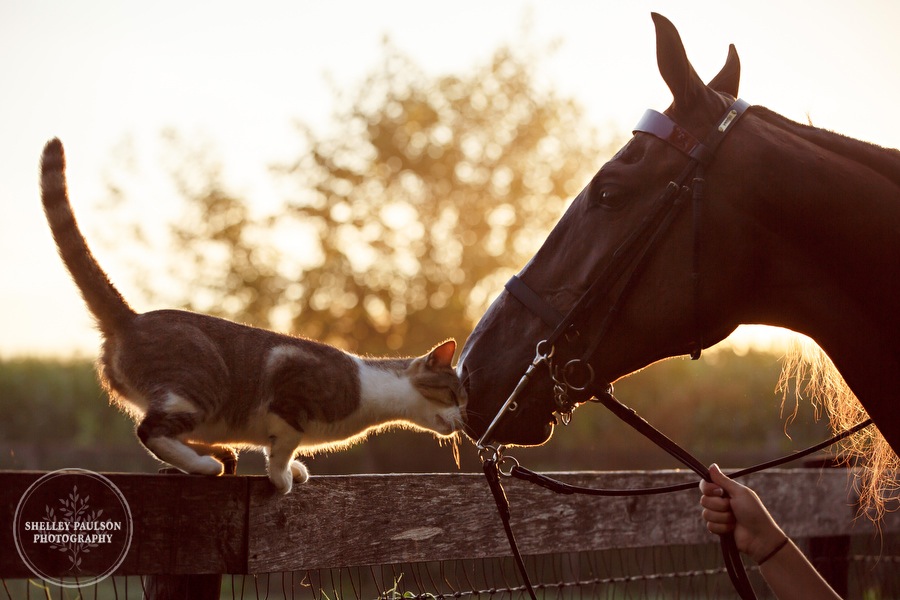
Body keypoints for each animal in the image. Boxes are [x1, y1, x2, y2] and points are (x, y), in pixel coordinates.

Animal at [40, 139, 464, 492]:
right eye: (454, 394)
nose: (464, 420)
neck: (373, 391)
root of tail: (130, 317)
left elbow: (276, 447)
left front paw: (292, 470)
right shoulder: (289, 395)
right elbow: (284, 445)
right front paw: (282, 478)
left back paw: (213, 457)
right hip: (199, 387)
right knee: (149, 431)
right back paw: (205, 465)